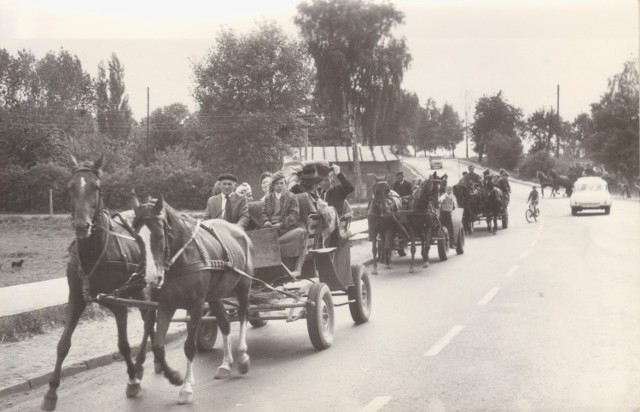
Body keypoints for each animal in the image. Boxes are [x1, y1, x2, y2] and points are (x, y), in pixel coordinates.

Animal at [42, 155, 155, 412]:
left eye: (95, 187)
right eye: (70, 187)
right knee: (150, 318)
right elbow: (63, 344)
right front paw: (51, 393)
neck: (97, 249)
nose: (82, 226)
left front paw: (132, 379)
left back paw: (141, 365)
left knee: (149, 318)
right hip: (137, 288)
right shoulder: (76, 298)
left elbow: (123, 345)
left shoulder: (119, 302)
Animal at [131, 196, 254, 406]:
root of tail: (239, 231)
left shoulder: (196, 304)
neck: (180, 259)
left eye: (159, 235)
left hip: (243, 287)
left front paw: (186, 387)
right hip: (215, 296)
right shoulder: (166, 304)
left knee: (244, 316)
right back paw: (226, 363)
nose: (152, 278)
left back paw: (243, 356)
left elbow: (189, 346)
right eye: (137, 238)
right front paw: (174, 376)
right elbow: (157, 345)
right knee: (225, 323)